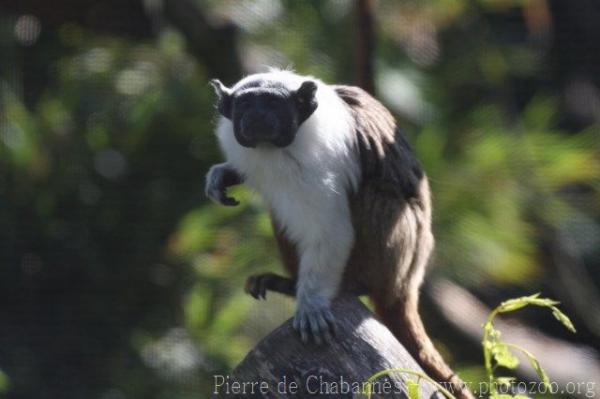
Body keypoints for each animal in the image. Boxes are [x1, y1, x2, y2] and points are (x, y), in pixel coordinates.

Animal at [205, 70, 474, 398]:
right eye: (246, 106)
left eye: (272, 105)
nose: (257, 118)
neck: (275, 150)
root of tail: (406, 283)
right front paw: (224, 174)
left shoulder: (320, 160)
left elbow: (331, 231)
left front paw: (312, 304)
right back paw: (288, 284)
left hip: (390, 260)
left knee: (376, 195)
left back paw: (349, 286)